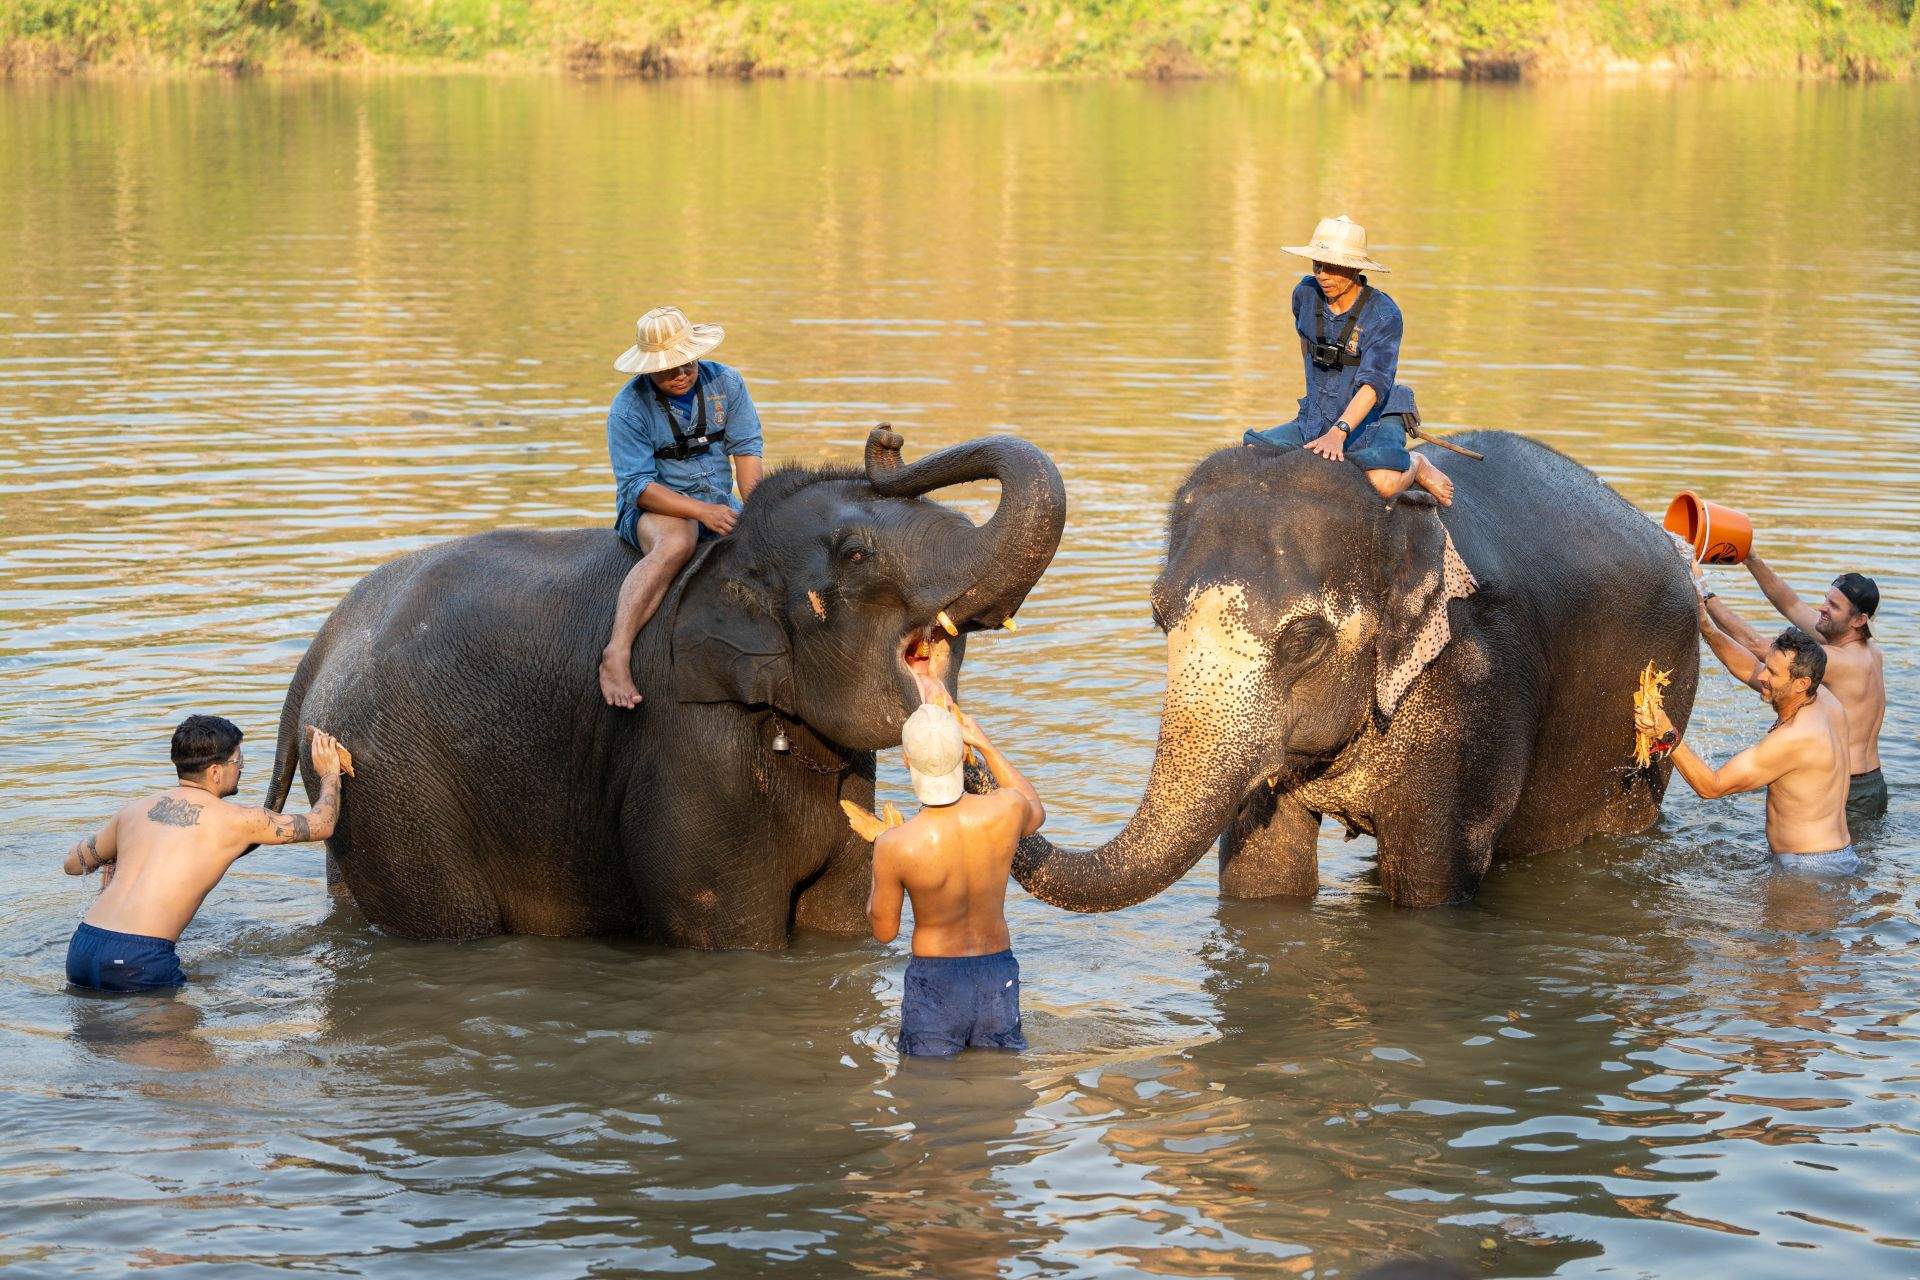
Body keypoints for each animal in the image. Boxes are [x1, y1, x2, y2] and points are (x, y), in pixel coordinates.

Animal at [255, 426, 1067, 948]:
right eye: (856, 553)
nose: (888, 441)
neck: (732, 551)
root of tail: (321, 649)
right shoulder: (685, 745)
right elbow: (730, 931)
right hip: (397, 787)